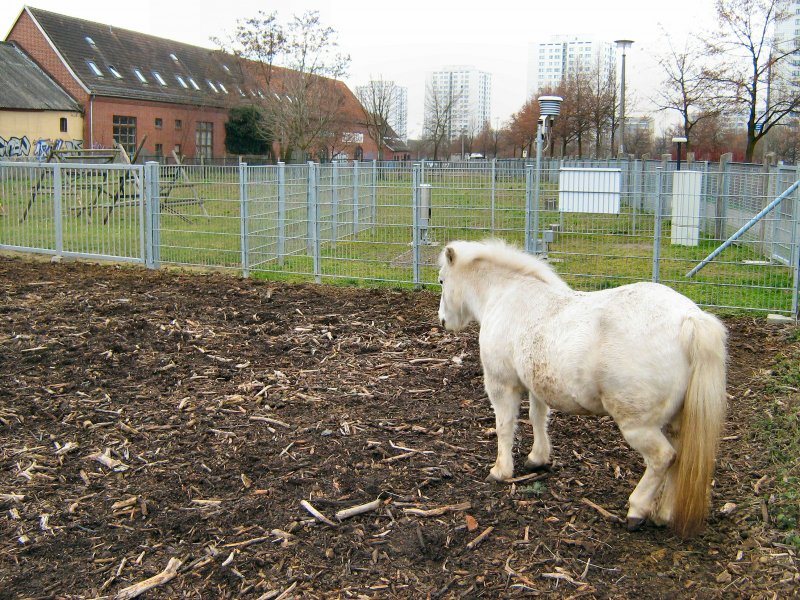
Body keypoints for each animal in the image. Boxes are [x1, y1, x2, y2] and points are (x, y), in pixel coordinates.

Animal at [434, 240, 728, 540]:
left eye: (442, 280)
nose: (442, 320)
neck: (507, 294)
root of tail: (688, 319)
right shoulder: (536, 384)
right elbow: (538, 418)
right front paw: (537, 458)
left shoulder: (501, 384)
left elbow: (505, 427)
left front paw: (500, 470)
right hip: (676, 421)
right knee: (678, 461)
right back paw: (663, 514)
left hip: (639, 426)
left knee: (663, 458)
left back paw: (637, 510)